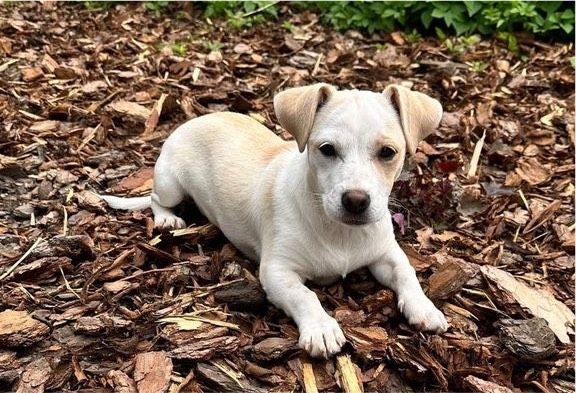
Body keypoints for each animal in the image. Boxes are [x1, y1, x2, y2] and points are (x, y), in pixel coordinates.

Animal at [101, 84, 448, 356]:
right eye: (327, 149)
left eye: (388, 152)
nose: (356, 201)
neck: (339, 232)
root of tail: (198, 118)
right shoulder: (276, 271)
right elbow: (304, 295)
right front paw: (321, 327)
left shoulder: (386, 253)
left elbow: (407, 273)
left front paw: (424, 307)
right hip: (171, 183)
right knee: (156, 200)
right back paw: (167, 220)